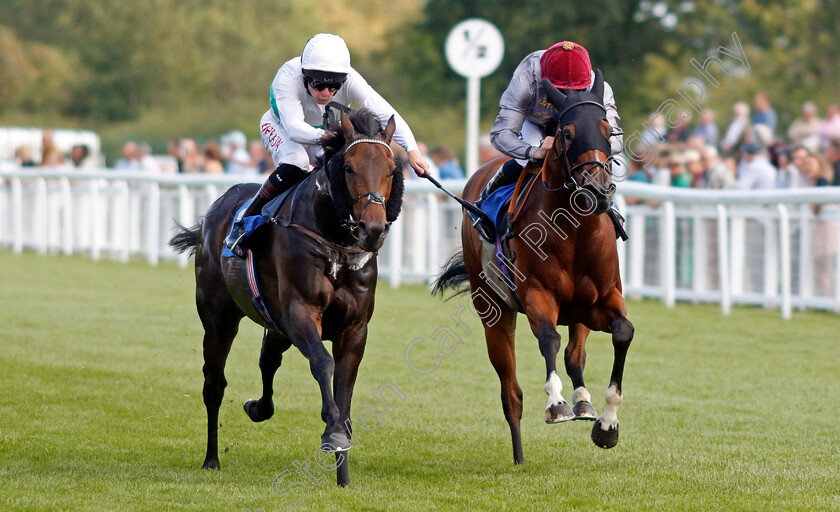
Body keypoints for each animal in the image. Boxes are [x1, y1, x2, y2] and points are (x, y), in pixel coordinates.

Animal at [167, 107, 404, 484]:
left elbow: (345, 389)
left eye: (392, 169)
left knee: (268, 359)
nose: (373, 230)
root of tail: (218, 207)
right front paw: (332, 433)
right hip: (219, 318)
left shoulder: (354, 328)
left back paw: (258, 408)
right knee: (214, 383)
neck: (334, 241)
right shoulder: (301, 312)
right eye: (349, 168)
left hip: (275, 322)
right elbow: (323, 362)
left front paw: (343, 474)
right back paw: (211, 459)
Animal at [436, 72, 632, 464]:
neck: (574, 231)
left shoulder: (602, 301)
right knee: (511, 392)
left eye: (608, 130)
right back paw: (519, 455)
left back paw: (584, 402)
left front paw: (607, 425)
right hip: (493, 311)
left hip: (579, 312)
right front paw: (556, 404)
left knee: (575, 355)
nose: (598, 191)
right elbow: (548, 339)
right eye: (567, 133)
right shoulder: (537, 297)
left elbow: (622, 333)